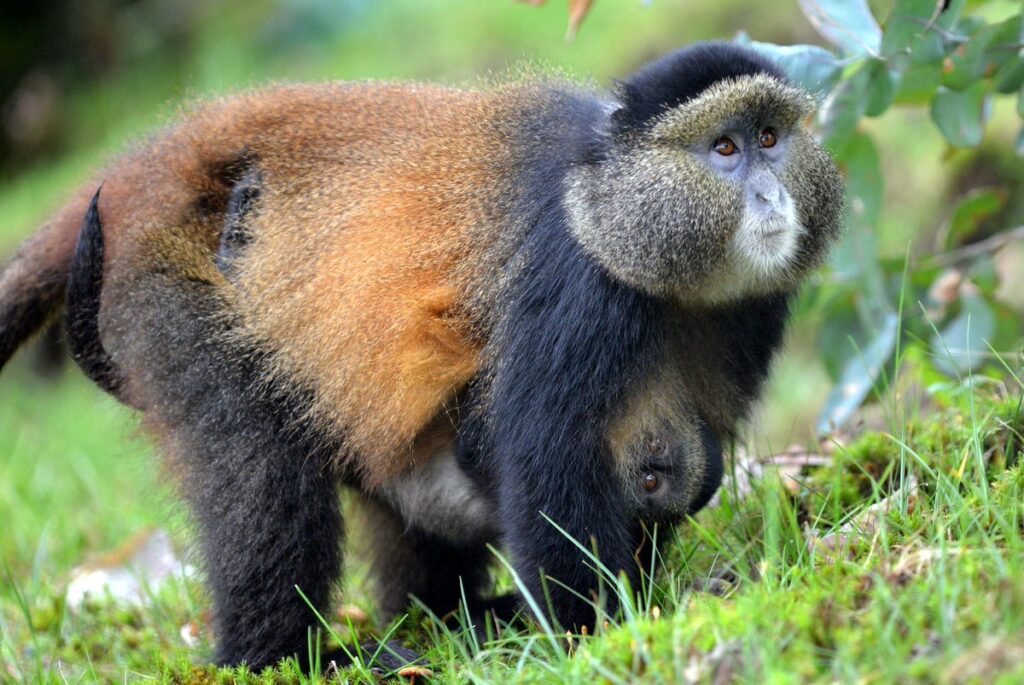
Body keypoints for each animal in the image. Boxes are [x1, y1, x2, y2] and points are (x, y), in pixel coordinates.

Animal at [0, 41, 844, 672]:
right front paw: (599, 630)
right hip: (166, 289)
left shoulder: (748, 313)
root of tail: (157, 161)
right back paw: (282, 657)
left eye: (771, 139)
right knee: (261, 482)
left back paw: (450, 618)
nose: (770, 198)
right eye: (724, 148)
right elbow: (548, 462)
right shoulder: (577, 287)